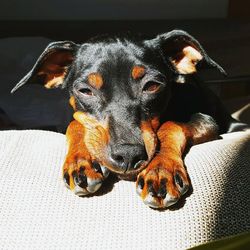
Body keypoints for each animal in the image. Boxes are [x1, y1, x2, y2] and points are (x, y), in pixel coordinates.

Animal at [12, 29, 248, 209]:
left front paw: (160, 170)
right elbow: (75, 122)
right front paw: (81, 160)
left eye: (152, 86)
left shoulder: (207, 121)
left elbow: (171, 125)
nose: (128, 156)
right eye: (85, 91)